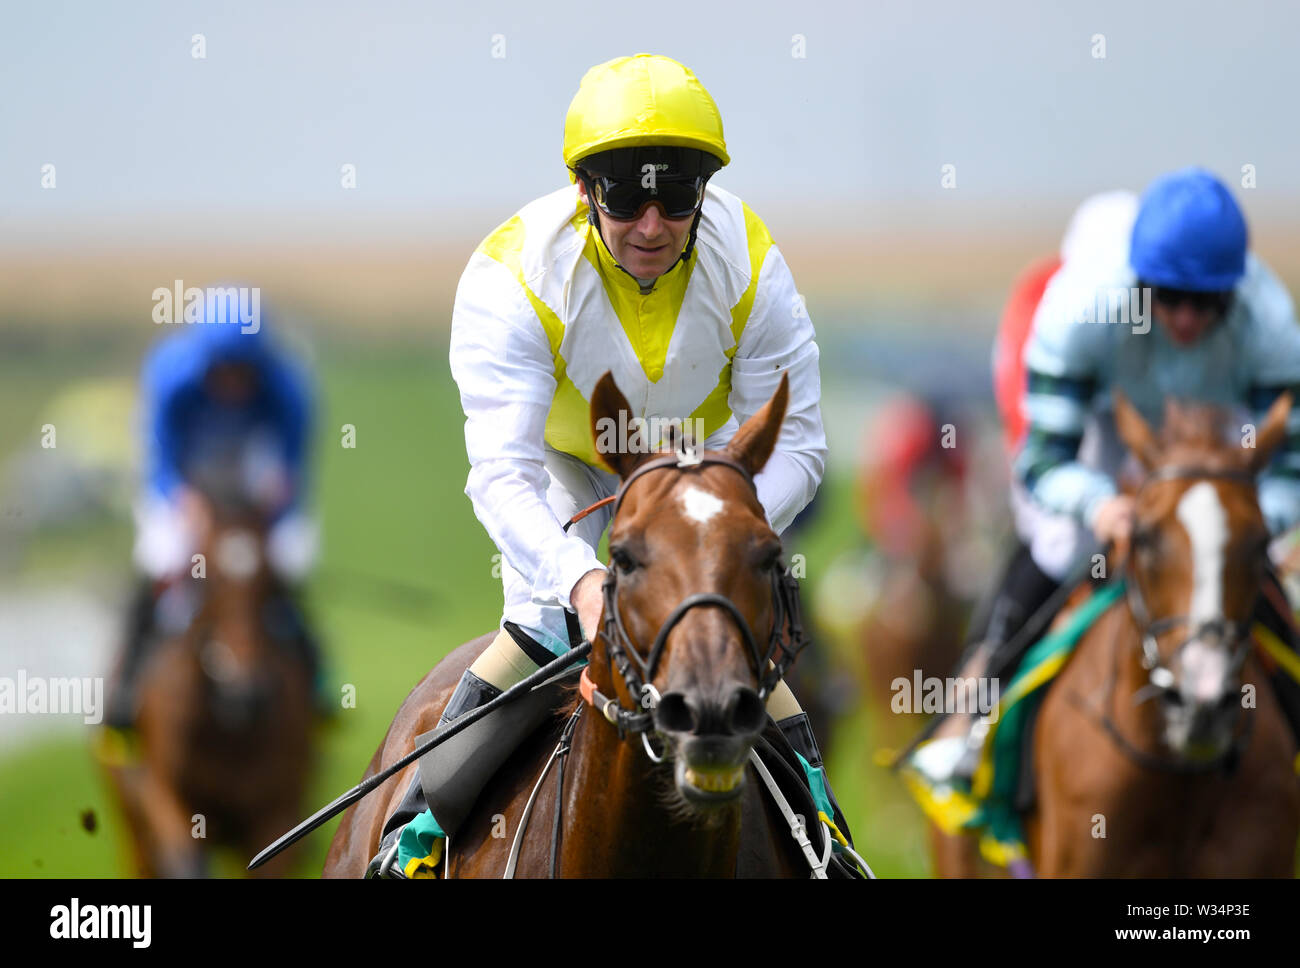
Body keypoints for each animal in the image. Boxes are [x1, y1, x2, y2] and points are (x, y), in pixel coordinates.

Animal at [101, 491, 314, 878]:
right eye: (207, 579)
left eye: (273, 583)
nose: (250, 691)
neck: (228, 723)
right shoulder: (167, 799)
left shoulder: (280, 810)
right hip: (132, 822)